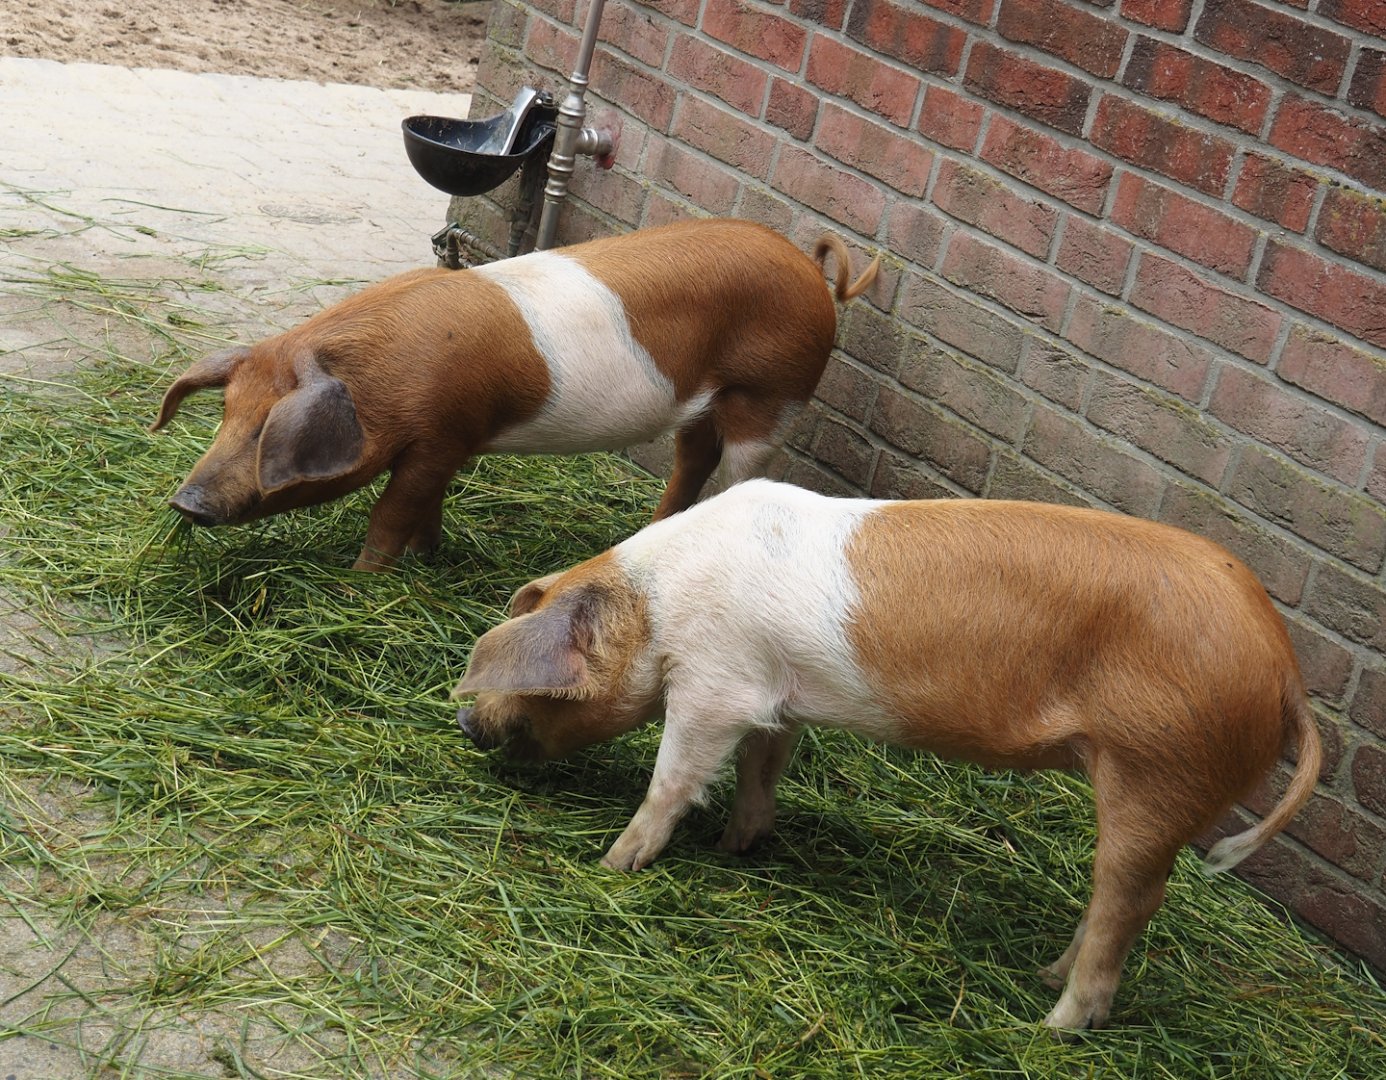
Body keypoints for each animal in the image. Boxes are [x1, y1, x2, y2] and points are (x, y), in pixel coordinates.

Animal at [151, 219, 879, 570]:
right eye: (225, 414)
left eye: (266, 430)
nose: (185, 501)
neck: (383, 375)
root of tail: (807, 266)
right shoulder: (449, 441)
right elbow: (426, 507)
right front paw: (431, 557)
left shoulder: (438, 434)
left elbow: (391, 512)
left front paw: (363, 580)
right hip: (704, 401)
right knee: (691, 460)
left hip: (772, 394)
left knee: (740, 474)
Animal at [451, 478, 1322, 1031]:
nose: (464, 724)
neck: (659, 604)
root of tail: (1285, 673)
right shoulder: (773, 695)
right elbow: (763, 768)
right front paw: (739, 847)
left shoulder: (714, 684)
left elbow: (674, 780)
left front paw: (612, 865)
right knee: (1131, 898)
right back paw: (1044, 978)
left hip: (1157, 769)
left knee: (1129, 902)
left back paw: (1051, 1022)